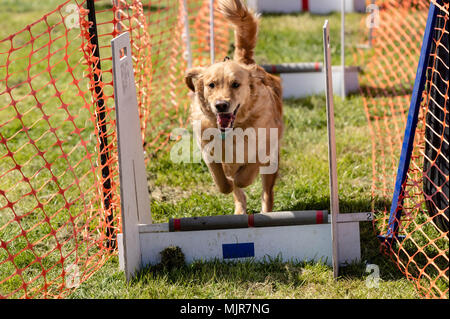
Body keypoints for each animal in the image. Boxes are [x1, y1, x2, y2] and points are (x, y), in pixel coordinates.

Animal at [185, 0, 284, 216]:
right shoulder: (207, 151)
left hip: (272, 163)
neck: (233, 129)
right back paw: (239, 210)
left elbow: (245, 174)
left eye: (236, 84)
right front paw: (228, 184)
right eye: (211, 85)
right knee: (238, 193)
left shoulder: (265, 145)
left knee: (267, 193)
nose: (221, 105)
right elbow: (221, 181)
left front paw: (240, 179)